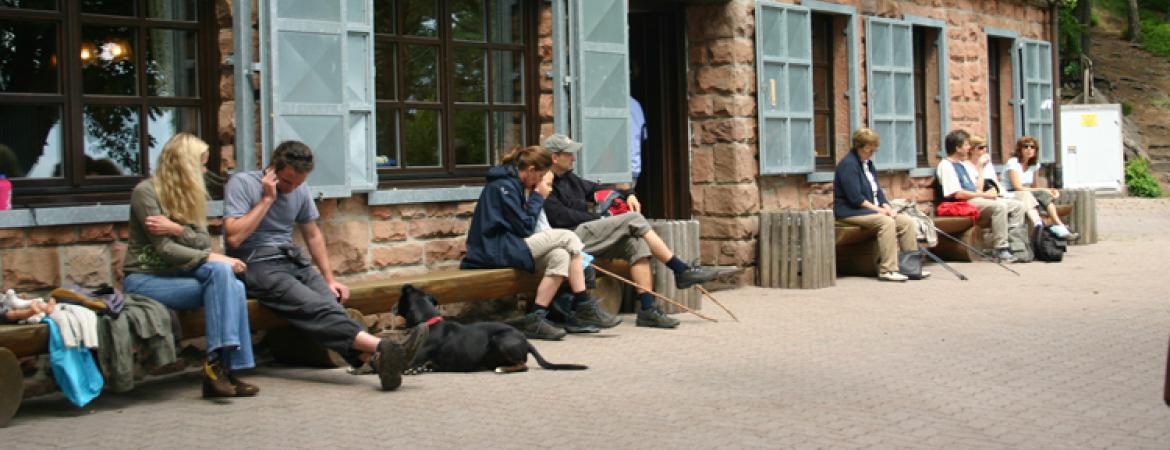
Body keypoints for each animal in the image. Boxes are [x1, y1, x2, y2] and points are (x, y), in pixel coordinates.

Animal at [397, 285, 589, 374]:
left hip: (501, 340)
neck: (429, 321)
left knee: (523, 365)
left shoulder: (409, 363)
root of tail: (526, 341)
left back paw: (502, 369)